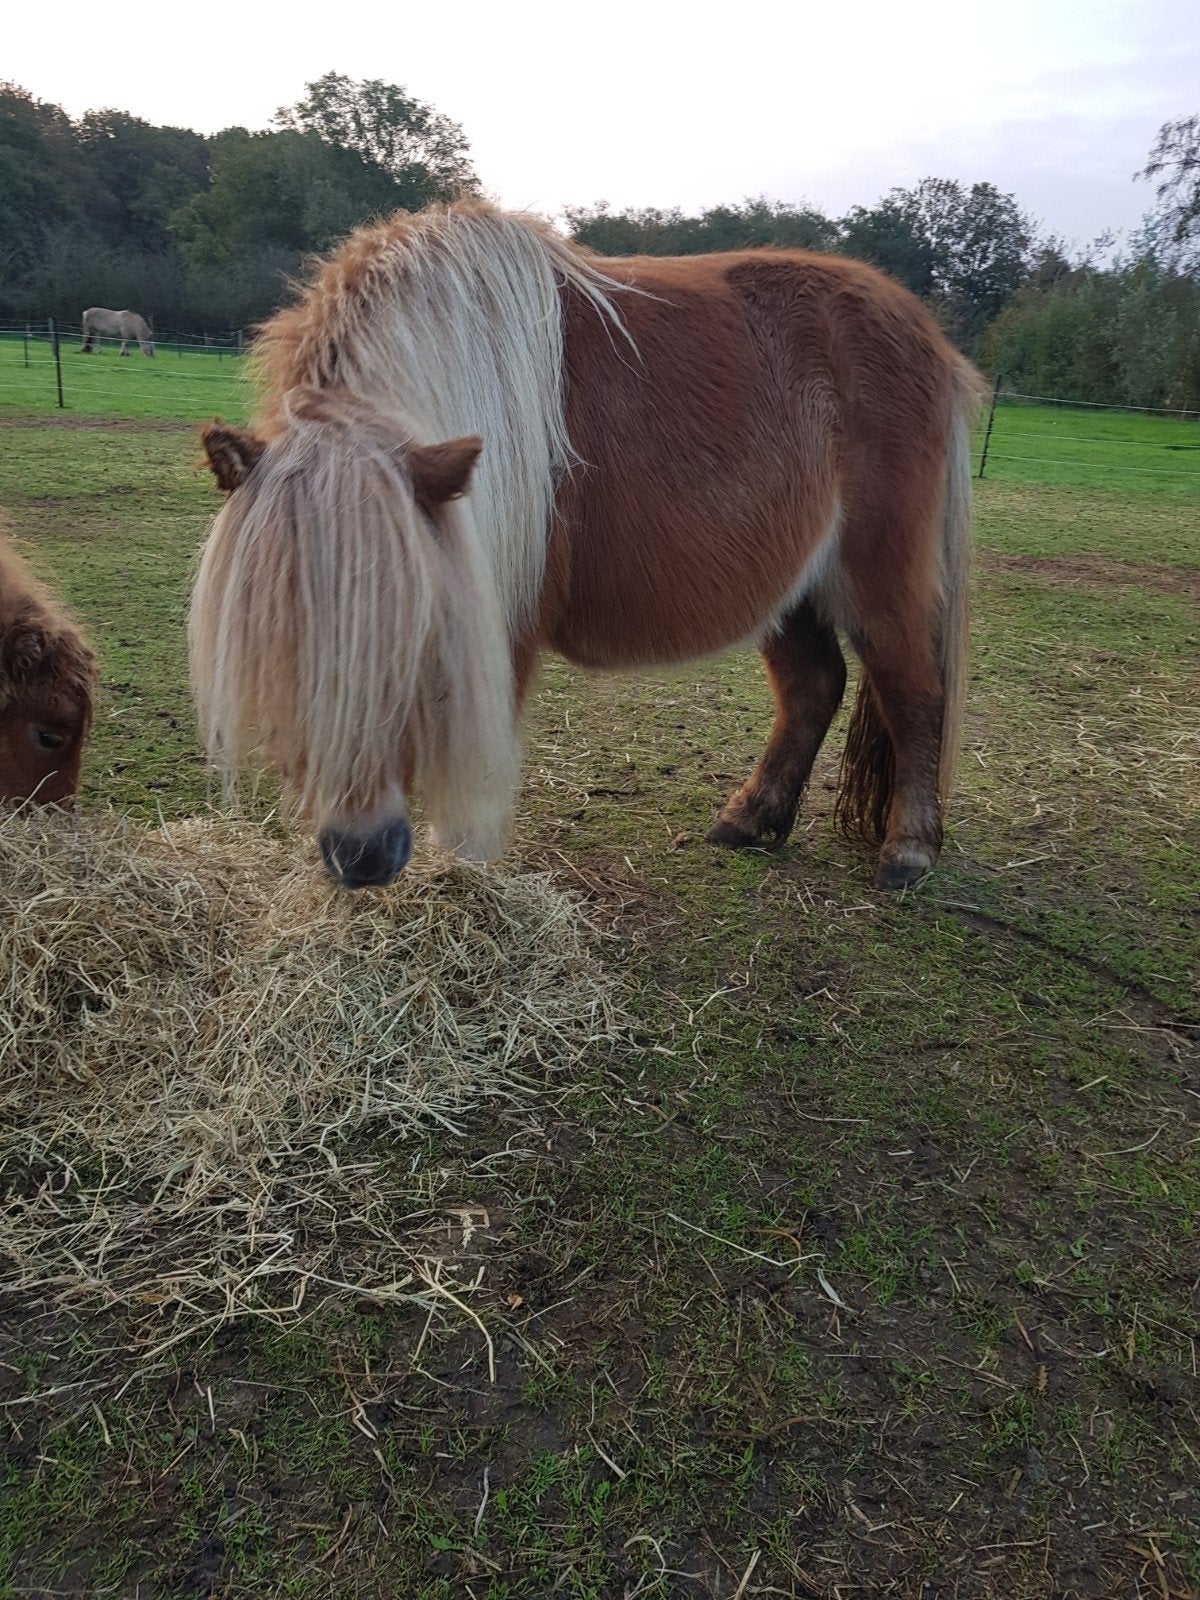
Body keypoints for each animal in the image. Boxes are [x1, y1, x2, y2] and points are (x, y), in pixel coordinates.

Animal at [190, 201, 983, 893]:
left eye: (420, 636)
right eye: (280, 640)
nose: (363, 857)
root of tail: (926, 333)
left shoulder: (501, 627)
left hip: (879, 583)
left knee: (914, 693)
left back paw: (908, 853)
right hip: (791, 590)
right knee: (814, 686)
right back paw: (750, 820)